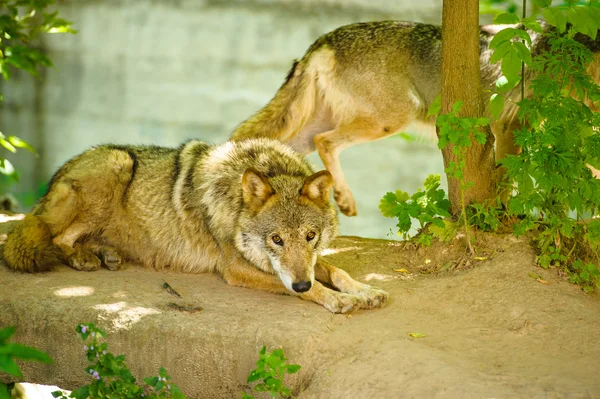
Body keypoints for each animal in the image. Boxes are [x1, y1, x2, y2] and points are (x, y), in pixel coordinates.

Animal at [2, 139, 390, 314]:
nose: (299, 282)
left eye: (310, 236)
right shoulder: (235, 268)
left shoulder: (305, 264)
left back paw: (105, 254)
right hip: (118, 163)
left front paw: (365, 290)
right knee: (56, 237)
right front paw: (339, 299)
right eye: (276, 239)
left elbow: (335, 270)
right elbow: (316, 287)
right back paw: (83, 258)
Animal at [231, 20, 600, 217]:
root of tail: (323, 40)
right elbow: (508, 181)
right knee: (326, 143)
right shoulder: (510, 126)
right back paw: (344, 200)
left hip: (307, 135)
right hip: (393, 117)